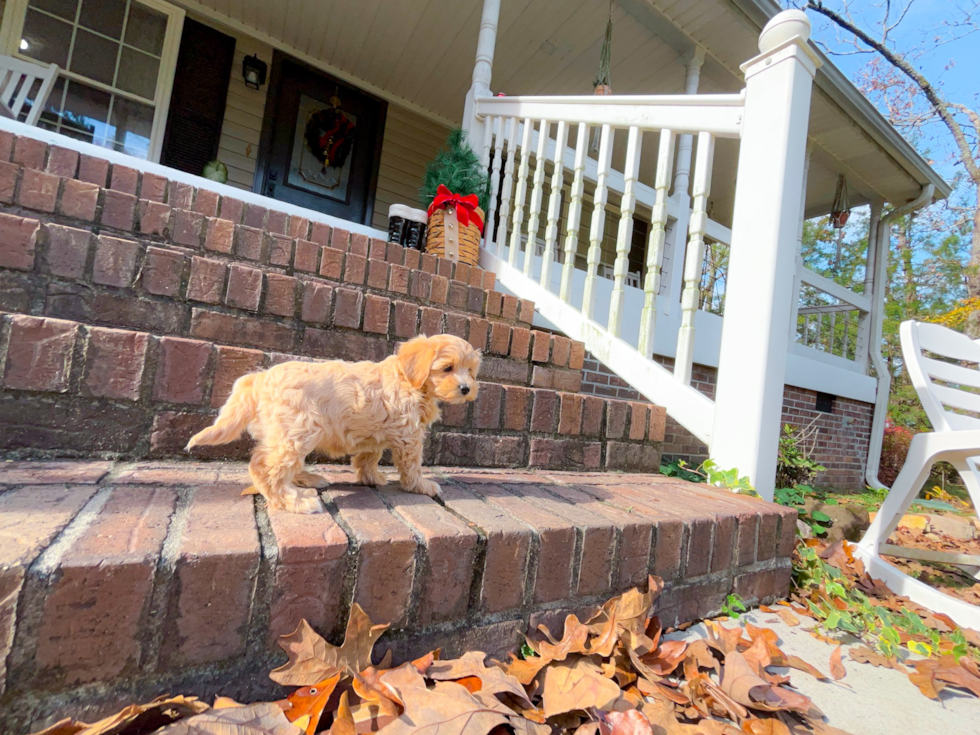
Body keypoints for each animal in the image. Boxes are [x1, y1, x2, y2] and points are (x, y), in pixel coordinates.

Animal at [186, 336, 480, 516]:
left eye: (470, 371)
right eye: (447, 368)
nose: (466, 389)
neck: (407, 379)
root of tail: (259, 378)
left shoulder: (374, 431)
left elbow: (369, 455)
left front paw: (370, 477)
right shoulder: (410, 436)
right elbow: (412, 465)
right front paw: (420, 486)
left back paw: (307, 479)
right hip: (300, 428)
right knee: (266, 467)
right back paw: (294, 501)